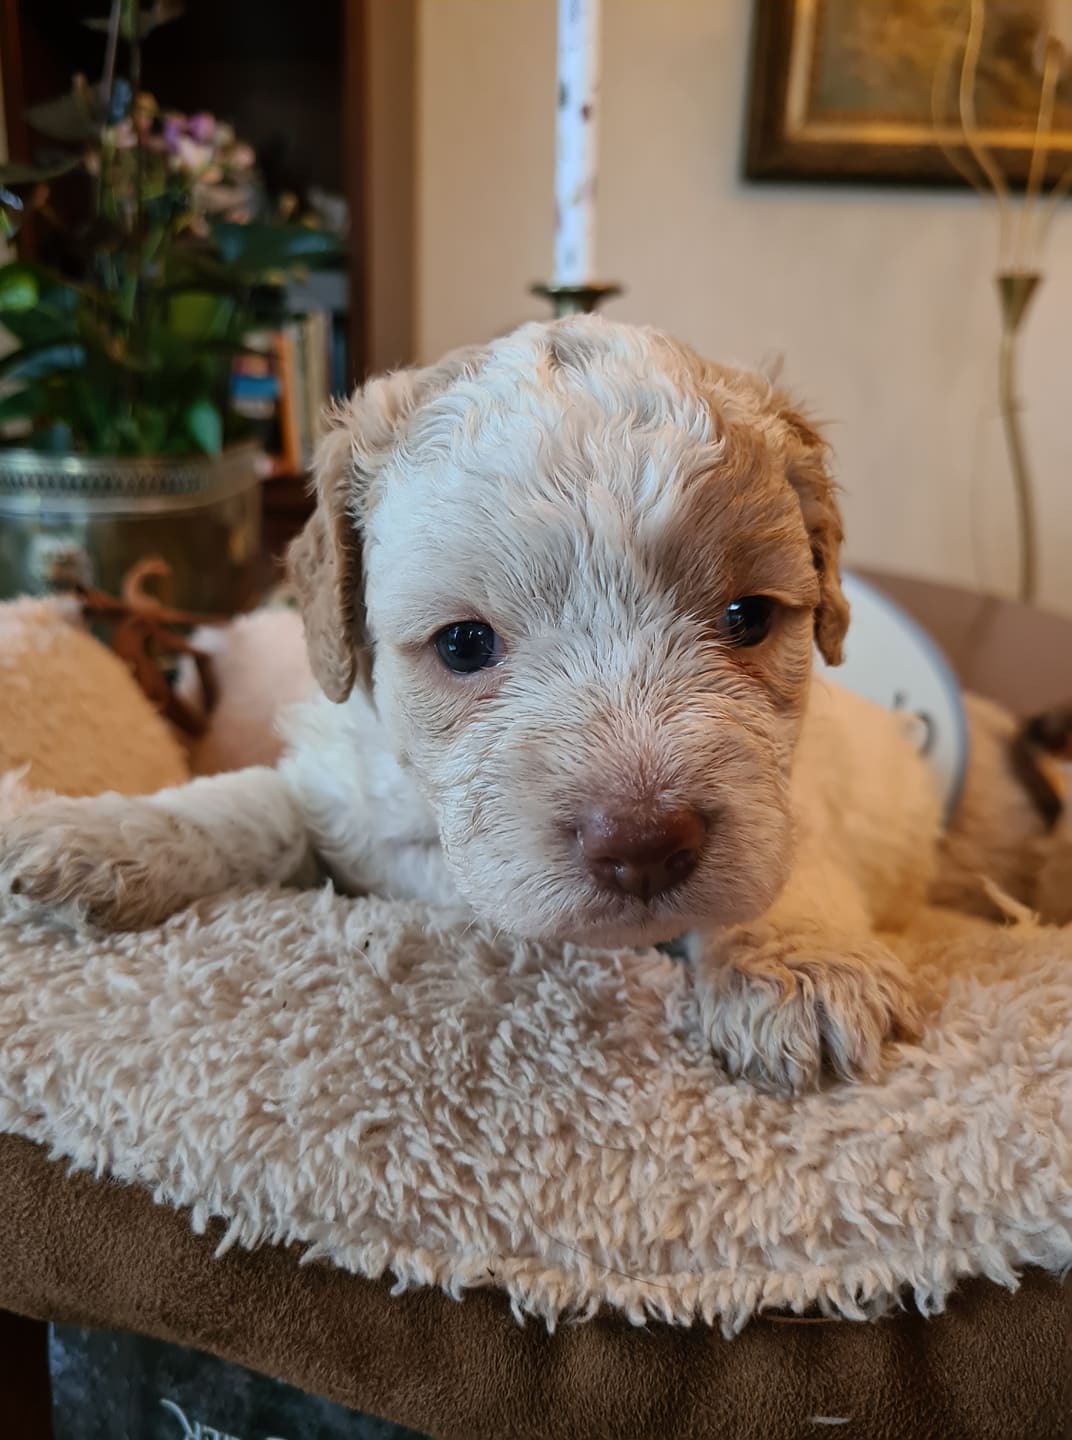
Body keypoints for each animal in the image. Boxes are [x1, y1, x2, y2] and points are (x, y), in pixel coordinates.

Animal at [0, 318, 966, 1095]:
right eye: (464, 643)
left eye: (748, 617)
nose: (645, 846)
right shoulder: (351, 803)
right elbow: (253, 805)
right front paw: (97, 838)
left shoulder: (796, 807)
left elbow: (790, 863)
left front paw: (799, 966)